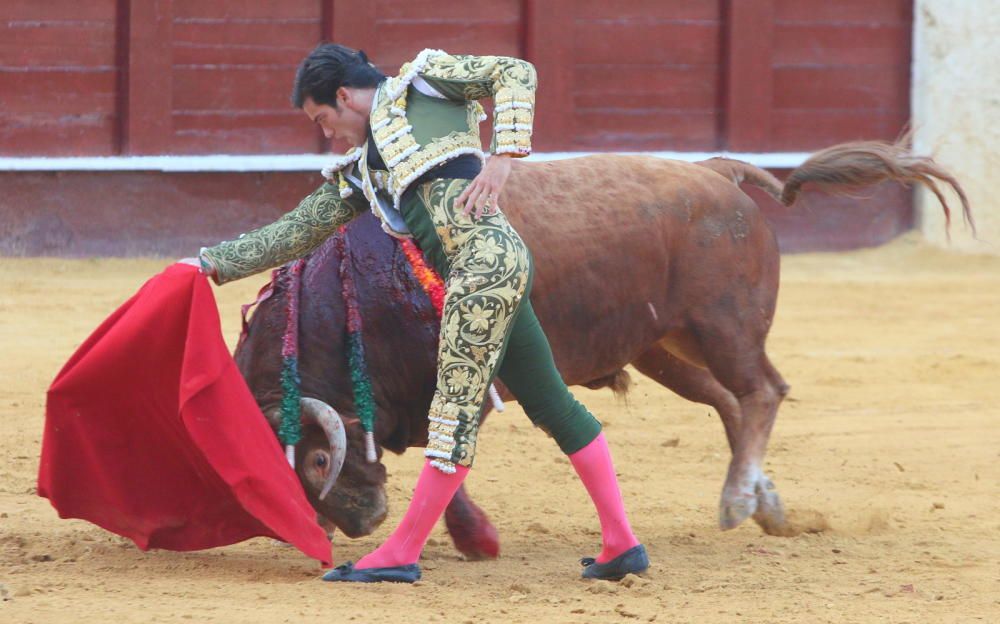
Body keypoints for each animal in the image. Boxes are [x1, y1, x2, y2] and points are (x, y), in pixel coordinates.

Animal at [234, 143, 968, 560]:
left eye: (319, 458)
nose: (360, 523)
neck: (358, 293)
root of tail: (716, 174)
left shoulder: (467, 378)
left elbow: (449, 454)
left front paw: (475, 541)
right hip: (664, 348)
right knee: (732, 403)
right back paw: (765, 504)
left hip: (724, 327)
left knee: (762, 391)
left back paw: (738, 501)